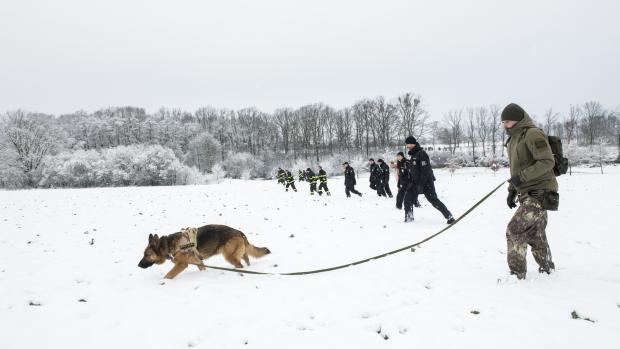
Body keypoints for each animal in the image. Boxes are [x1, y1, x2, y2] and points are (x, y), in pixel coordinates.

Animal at [139, 224, 270, 278]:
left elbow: (168, 275)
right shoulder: (199, 262)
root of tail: (239, 232)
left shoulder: (181, 264)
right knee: (246, 259)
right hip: (238, 254)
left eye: (147, 255)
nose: (138, 265)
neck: (167, 244)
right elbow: (202, 268)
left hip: (229, 256)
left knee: (240, 265)